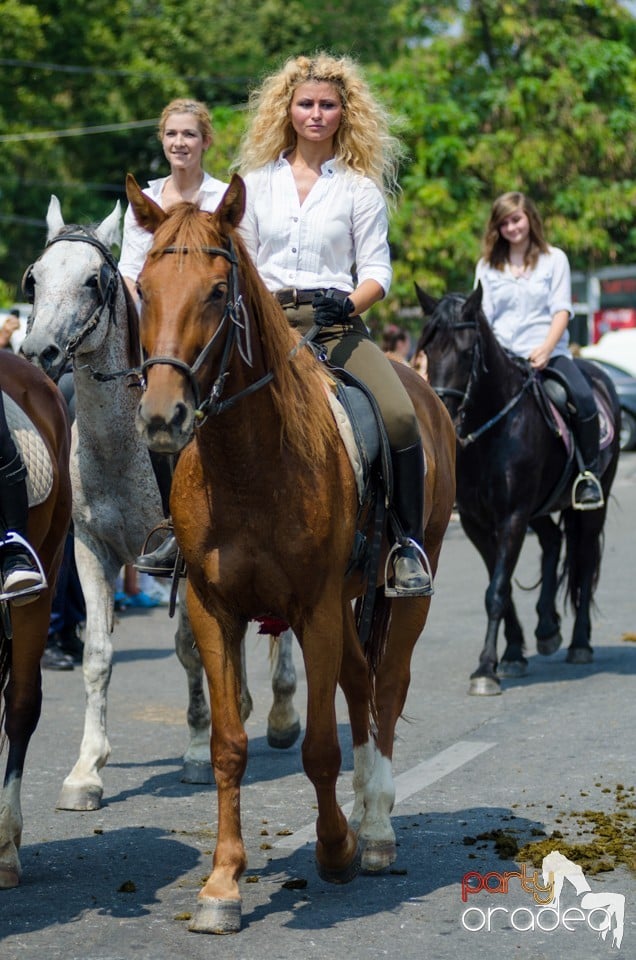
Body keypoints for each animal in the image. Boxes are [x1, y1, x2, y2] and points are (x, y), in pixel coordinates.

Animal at [19, 199, 298, 812]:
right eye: (36, 276)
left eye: (93, 281)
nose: (36, 351)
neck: (123, 447)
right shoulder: (91, 550)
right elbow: (99, 656)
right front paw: (86, 771)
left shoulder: (182, 559)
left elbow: (189, 649)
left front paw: (196, 750)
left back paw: (283, 713)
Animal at [124, 171, 454, 928]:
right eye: (144, 289)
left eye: (218, 292)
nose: (162, 418)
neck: (249, 463)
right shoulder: (215, 611)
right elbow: (228, 746)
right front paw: (222, 883)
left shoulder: (317, 609)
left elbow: (321, 747)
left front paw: (334, 851)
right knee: (361, 682)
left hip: (405, 592)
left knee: (386, 687)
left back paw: (377, 830)